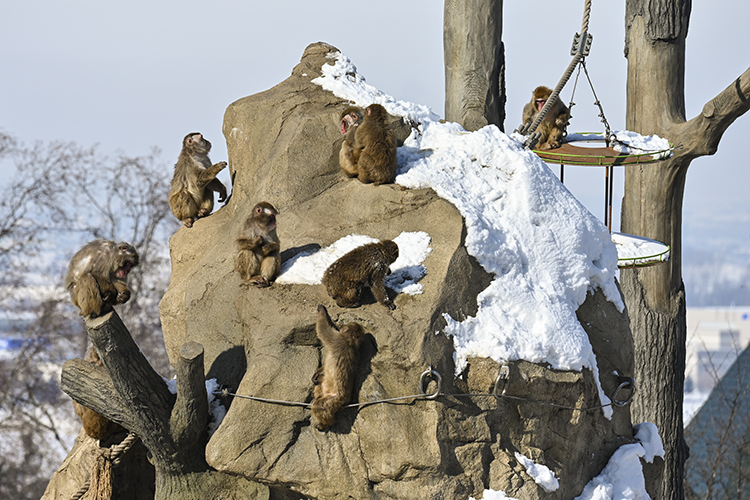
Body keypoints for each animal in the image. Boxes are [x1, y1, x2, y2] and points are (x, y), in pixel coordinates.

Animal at [310, 302, 366, 432]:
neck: (350, 342)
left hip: (334, 401)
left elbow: (323, 329)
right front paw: (316, 374)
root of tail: (344, 402)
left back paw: (325, 424)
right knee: (320, 382)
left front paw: (322, 309)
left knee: (319, 407)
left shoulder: (336, 339)